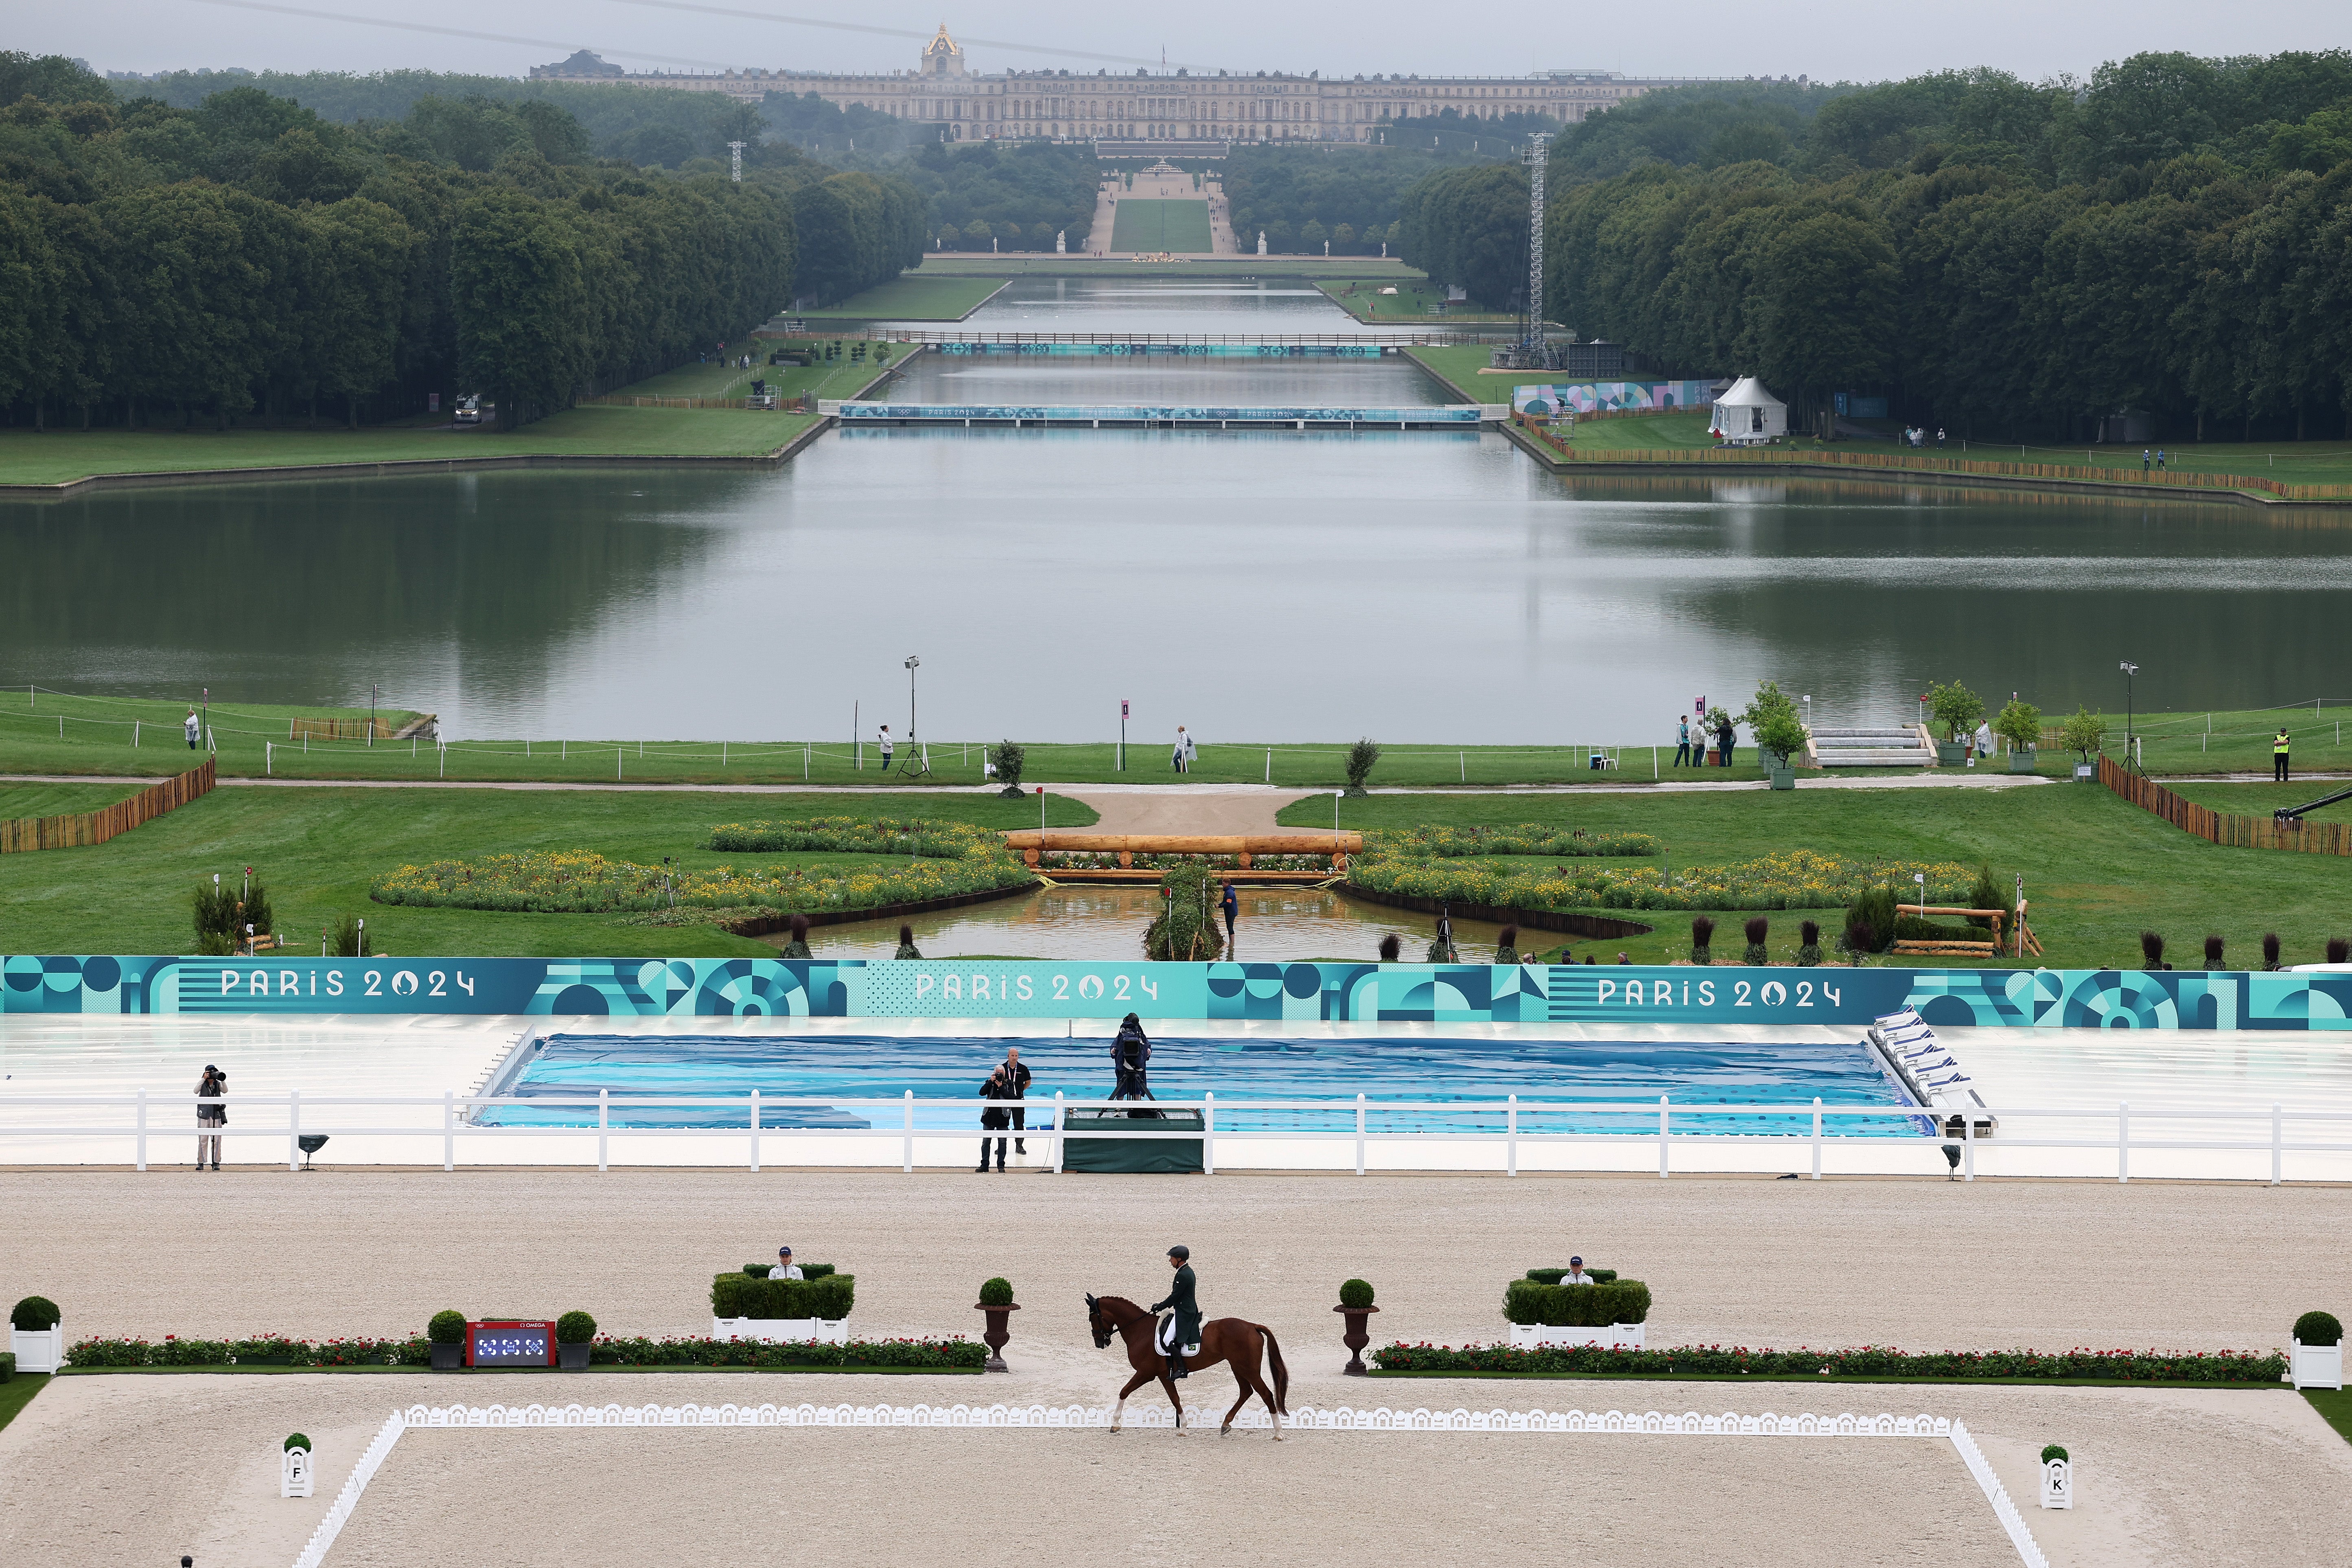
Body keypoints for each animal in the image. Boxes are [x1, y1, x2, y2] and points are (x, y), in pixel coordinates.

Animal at [1082, 1297, 1289, 1439]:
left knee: (1266, 1394)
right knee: (1246, 1392)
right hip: (1238, 1367)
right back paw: (1226, 1425)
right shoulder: (1163, 1375)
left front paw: (1115, 1424)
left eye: (1093, 1318)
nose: (1100, 1343)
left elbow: (1124, 1391)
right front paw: (1183, 1428)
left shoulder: (1146, 1373)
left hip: (1248, 1369)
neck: (1140, 1331)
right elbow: (1175, 1399)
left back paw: (1278, 1433)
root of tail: (1253, 1326)